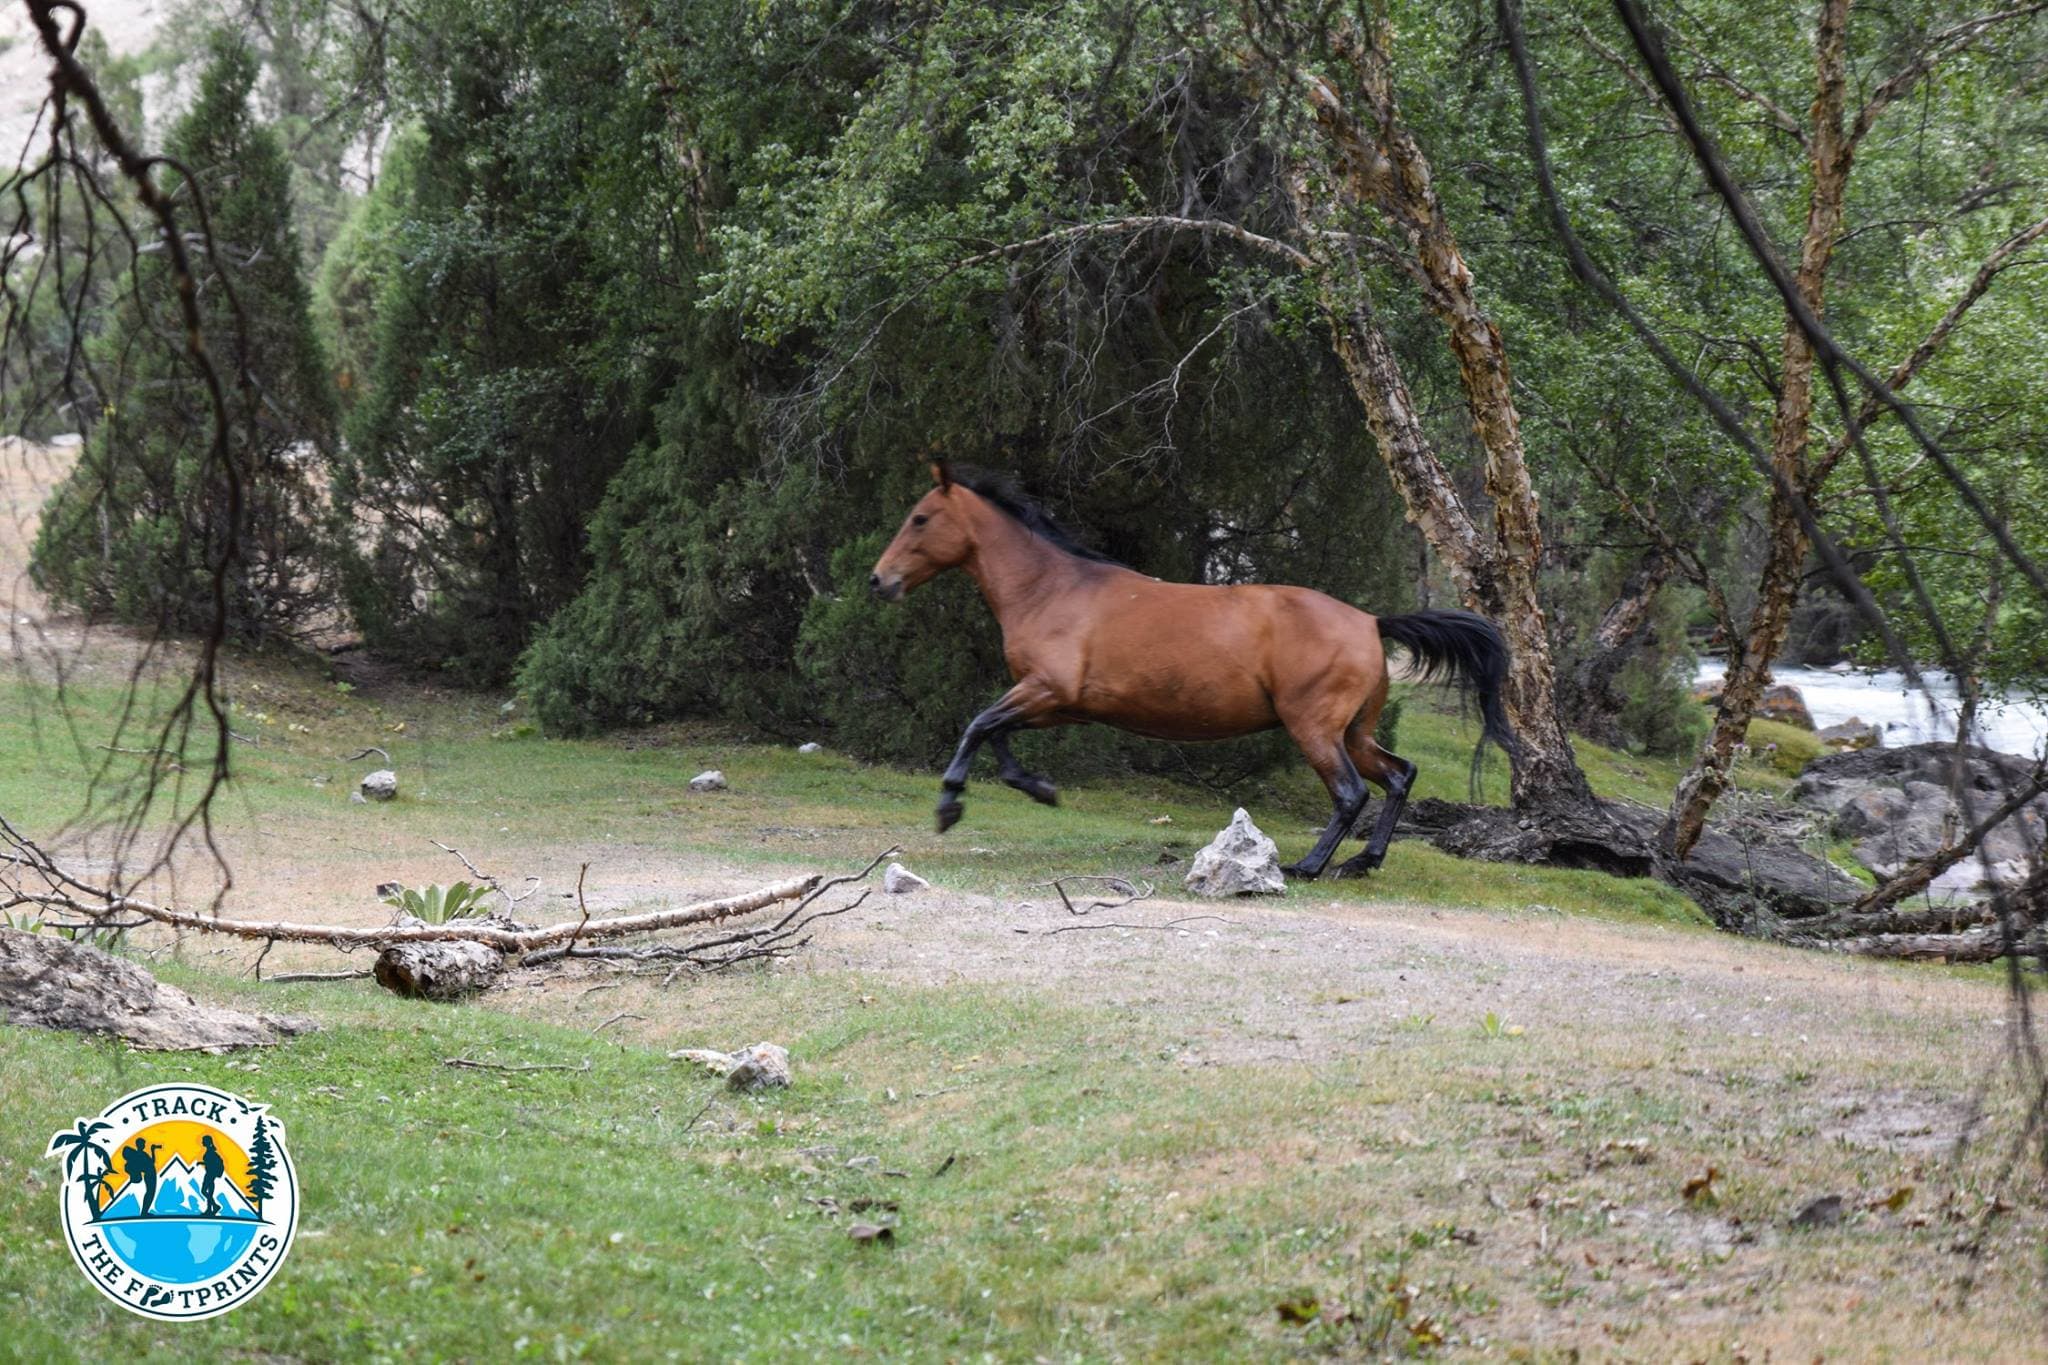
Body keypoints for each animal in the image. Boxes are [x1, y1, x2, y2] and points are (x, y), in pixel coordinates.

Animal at [869, 463, 1519, 880]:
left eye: (920, 519)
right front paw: (1037, 787)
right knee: (1399, 776)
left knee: (1351, 793)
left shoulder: (1046, 691)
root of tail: (1370, 620)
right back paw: (1363, 863)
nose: (880, 580)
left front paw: (950, 806)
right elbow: (997, 734)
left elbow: (978, 724)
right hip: (1353, 731)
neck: (1052, 589)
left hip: (1314, 729)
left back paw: (1308, 866)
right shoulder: (1057, 704)